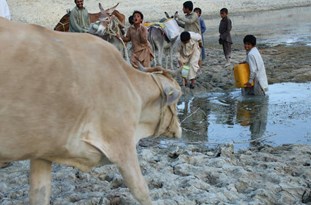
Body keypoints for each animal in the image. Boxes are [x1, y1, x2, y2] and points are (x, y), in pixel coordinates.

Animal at [0, 17, 183, 205]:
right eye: (178, 97)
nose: (179, 128)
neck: (130, 85)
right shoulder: (122, 145)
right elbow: (142, 191)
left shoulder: (42, 153)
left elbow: (39, 194)